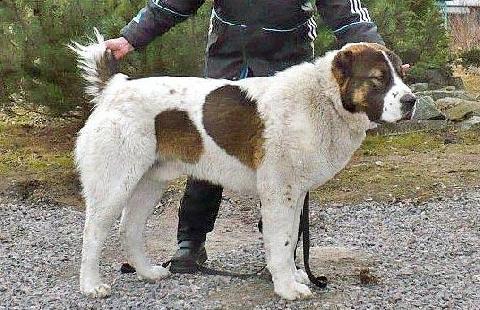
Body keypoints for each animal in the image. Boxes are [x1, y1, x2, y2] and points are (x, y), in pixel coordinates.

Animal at [70, 30, 416, 300]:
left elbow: (291, 238)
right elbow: (283, 240)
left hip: (149, 182)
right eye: (378, 79)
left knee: (129, 228)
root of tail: (116, 87)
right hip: (115, 184)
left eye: (401, 75)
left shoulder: (295, 193)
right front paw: (287, 287)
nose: (411, 101)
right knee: (92, 233)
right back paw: (91, 286)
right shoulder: (279, 192)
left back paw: (148, 272)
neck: (323, 99)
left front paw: (294, 276)